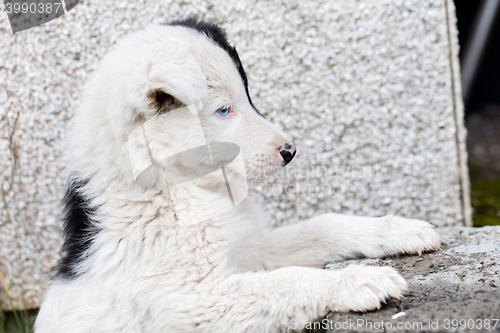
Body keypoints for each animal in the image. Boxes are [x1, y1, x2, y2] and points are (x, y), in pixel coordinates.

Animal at [35, 18, 440, 332]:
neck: (176, 187)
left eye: (247, 96)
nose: (290, 151)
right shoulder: (198, 300)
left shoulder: (256, 249)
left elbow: (322, 227)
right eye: (223, 110)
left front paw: (397, 229)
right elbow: (286, 283)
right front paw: (357, 280)